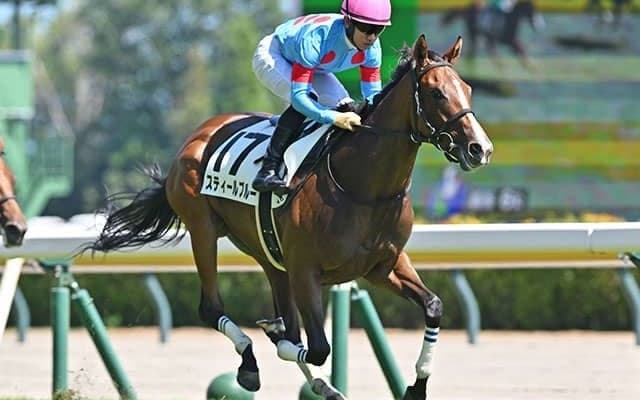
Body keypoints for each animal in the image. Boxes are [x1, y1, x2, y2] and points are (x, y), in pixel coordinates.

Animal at [81, 34, 493, 400]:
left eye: (468, 89)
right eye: (437, 93)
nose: (481, 148)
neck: (363, 187)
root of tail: (200, 133)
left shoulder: (382, 265)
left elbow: (433, 306)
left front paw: (416, 387)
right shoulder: (305, 269)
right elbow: (317, 347)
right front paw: (279, 342)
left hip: (270, 255)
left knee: (283, 316)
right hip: (203, 229)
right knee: (212, 308)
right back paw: (251, 363)